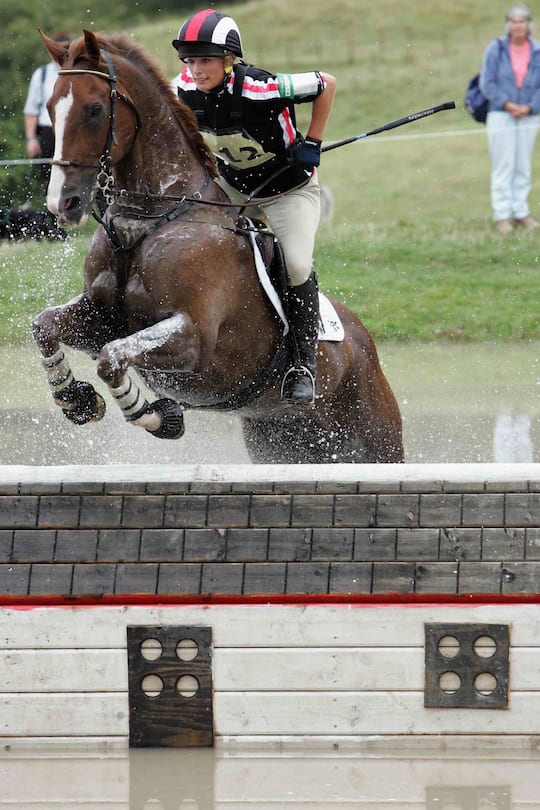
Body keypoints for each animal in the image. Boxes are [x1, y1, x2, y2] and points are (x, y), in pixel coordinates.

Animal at [32, 29, 404, 464]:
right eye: (51, 107)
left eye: (93, 109)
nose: (63, 203)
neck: (153, 216)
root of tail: (365, 343)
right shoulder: (99, 317)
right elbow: (45, 326)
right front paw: (77, 400)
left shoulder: (194, 339)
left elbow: (113, 357)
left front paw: (161, 417)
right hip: (280, 441)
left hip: (377, 441)